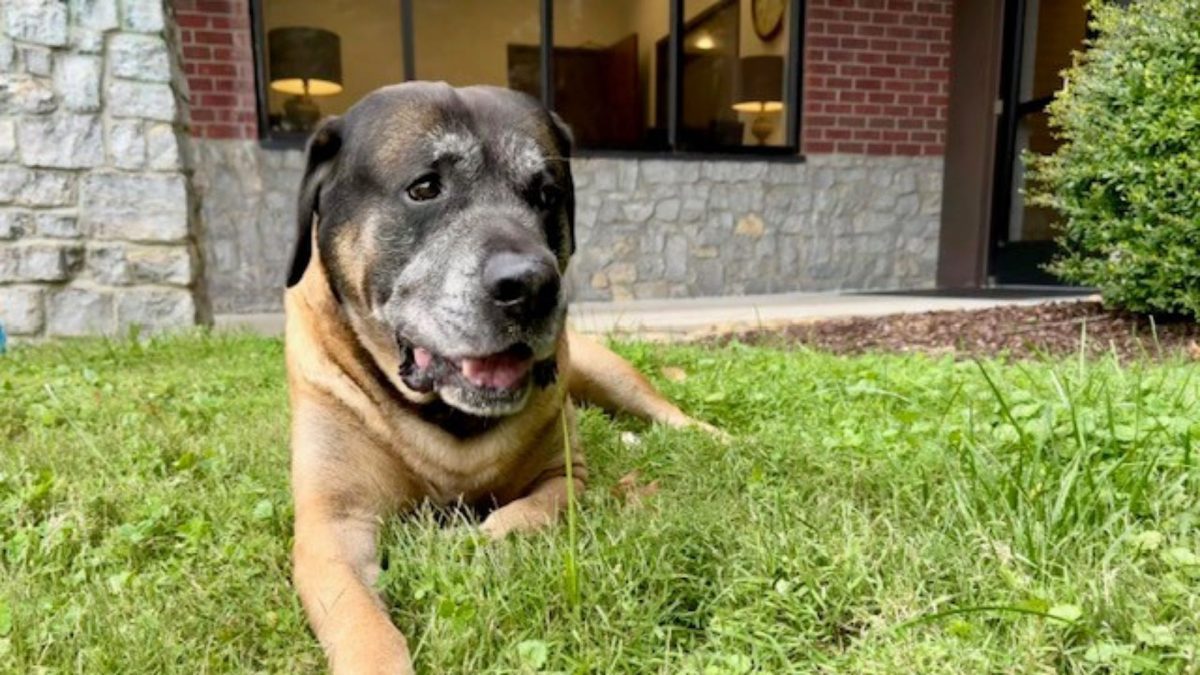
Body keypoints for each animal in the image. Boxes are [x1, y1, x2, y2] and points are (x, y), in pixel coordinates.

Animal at [280, 81, 710, 667]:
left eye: (547, 195)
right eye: (425, 187)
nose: (531, 285)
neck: (446, 418)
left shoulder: (564, 477)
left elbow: (522, 516)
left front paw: (463, 540)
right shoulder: (331, 526)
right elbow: (361, 623)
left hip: (607, 372)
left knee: (666, 411)